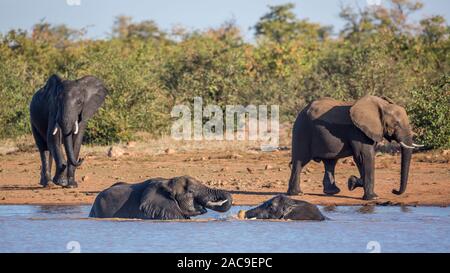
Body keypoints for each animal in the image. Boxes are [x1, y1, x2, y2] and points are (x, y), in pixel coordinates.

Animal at [286, 95, 424, 200]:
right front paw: (373, 197)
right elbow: (364, 156)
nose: (394, 190)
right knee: (300, 161)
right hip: (302, 130)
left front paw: (352, 183)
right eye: (396, 124)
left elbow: (361, 159)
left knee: (330, 162)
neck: (382, 105)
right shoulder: (358, 132)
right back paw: (297, 193)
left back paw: (333, 192)